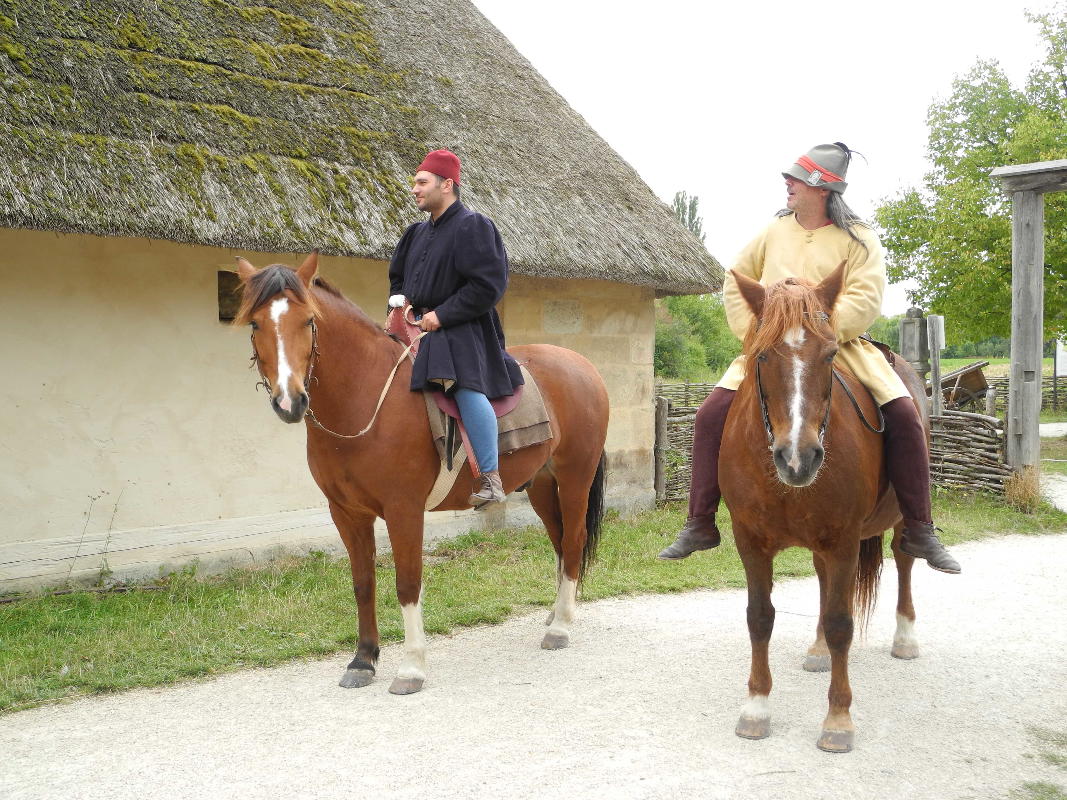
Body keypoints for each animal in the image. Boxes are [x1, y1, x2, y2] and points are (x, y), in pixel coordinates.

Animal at [233, 252, 609, 695]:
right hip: (542, 486)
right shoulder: (346, 513)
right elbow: (363, 582)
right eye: (255, 324)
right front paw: (363, 660)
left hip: (574, 477)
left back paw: (561, 627)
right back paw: (556, 612)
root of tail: (582, 365)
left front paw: (411, 667)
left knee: (574, 539)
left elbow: (407, 583)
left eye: (308, 321)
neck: (365, 399)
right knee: (560, 542)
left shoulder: (403, 510)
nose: (289, 401)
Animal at [719, 262, 926, 753]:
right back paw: (816, 651)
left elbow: (840, 624)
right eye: (762, 356)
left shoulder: (844, 540)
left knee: (905, 559)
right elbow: (760, 618)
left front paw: (838, 718)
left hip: (899, 522)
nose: (799, 457)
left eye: (831, 355)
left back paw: (905, 635)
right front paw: (756, 708)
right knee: (822, 578)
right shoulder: (750, 542)